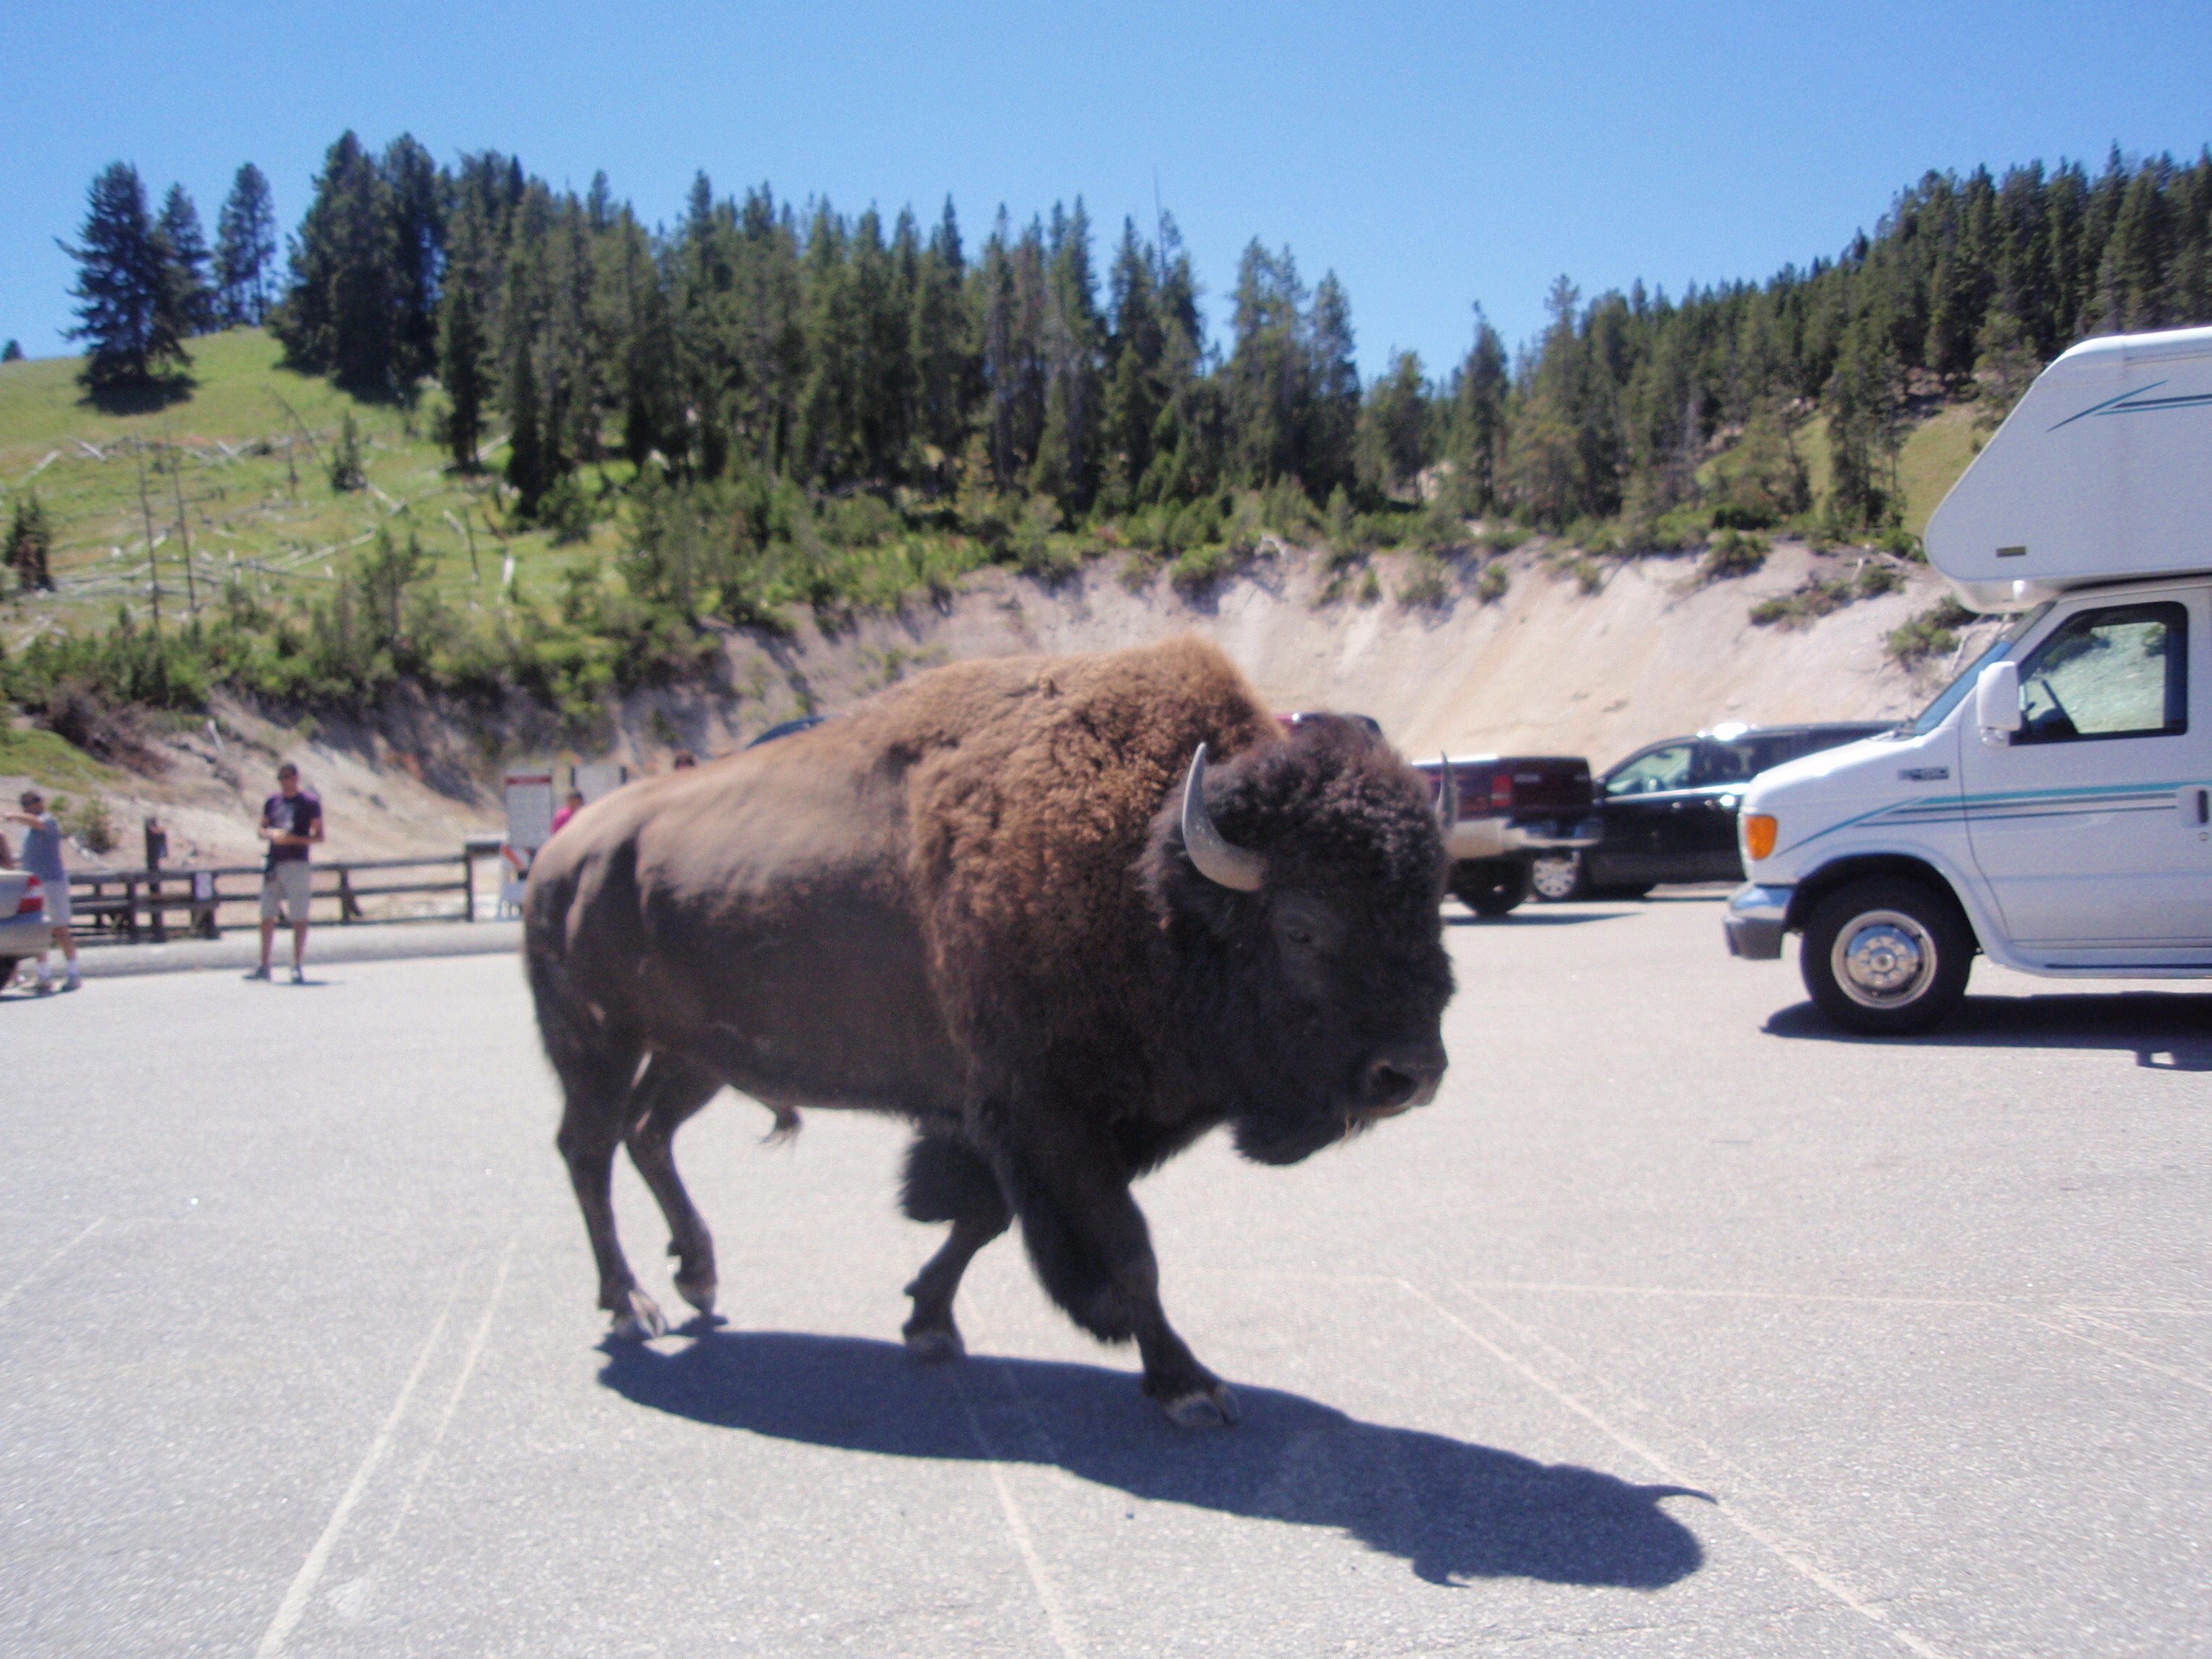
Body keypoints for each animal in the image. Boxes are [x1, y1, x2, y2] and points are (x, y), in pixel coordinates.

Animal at [526, 637, 1460, 1433]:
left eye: (1430, 907)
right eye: (1303, 927)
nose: (1411, 1074)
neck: (1154, 878)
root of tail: (559, 858)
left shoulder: (1026, 1125)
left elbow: (984, 1217)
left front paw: (929, 1323)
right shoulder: (1047, 1114)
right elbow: (1125, 1251)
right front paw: (1189, 1386)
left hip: (694, 1058)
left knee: (647, 1136)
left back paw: (696, 1277)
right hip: (595, 1043)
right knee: (588, 1148)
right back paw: (632, 1306)